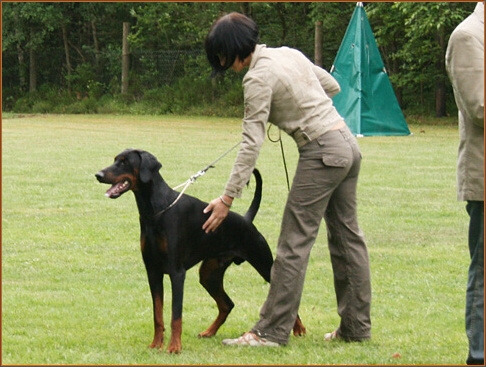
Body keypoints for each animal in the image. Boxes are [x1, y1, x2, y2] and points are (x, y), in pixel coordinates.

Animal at [95, 149, 306, 354]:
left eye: (124, 162)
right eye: (115, 159)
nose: (98, 175)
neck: (156, 210)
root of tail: (246, 219)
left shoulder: (176, 272)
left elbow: (176, 315)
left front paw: (174, 347)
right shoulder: (153, 271)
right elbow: (158, 314)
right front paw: (156, 344)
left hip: (264, 264)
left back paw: (299, 330)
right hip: (209, 274)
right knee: (227, 304)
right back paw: (209, 331)